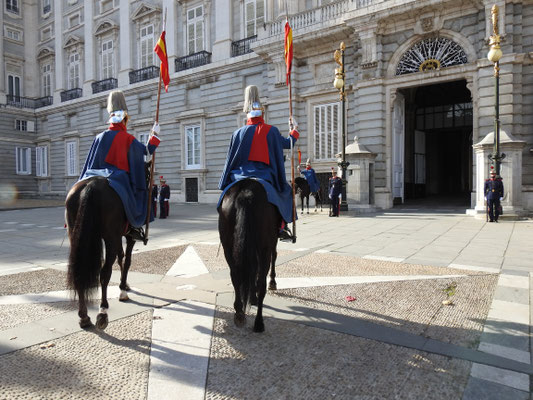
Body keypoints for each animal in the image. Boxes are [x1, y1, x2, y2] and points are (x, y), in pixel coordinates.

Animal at [65, 177, 137, 330]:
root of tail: (93, 184)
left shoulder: (118, 236)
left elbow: (121, 257)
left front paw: (124, 284)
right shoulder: (128, 236)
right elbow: (127, 260)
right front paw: (123, 289)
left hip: (75, 235)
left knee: (80, 270)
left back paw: (84, 317)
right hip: (110, 238)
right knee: (105, 273)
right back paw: (103, 311)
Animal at [218, 178, 280, 332]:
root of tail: (246, 192)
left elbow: (251, 270)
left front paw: (252, 297)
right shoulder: (271, 243)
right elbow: (274, 257)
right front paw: (272, 282)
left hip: (228, 246)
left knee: (235, 275)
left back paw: (239, 313)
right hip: (264, 247)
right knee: (262, 283)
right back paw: (259, 322)